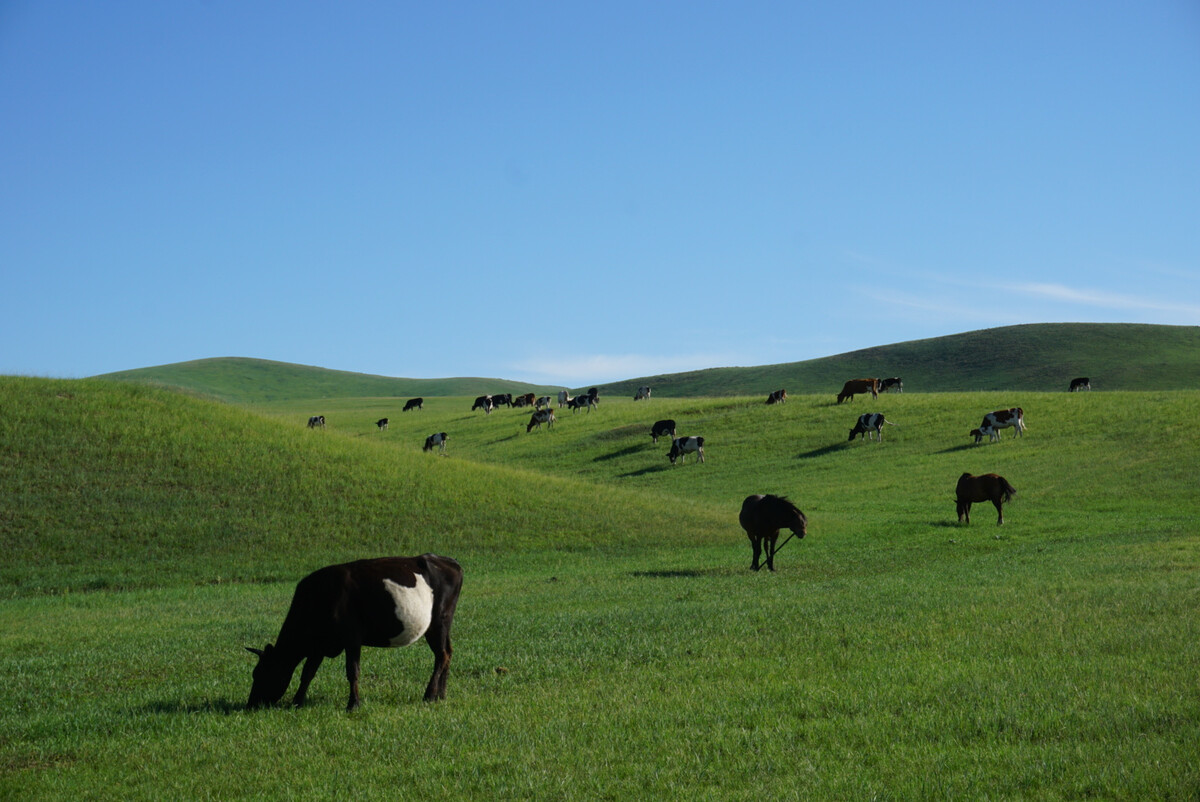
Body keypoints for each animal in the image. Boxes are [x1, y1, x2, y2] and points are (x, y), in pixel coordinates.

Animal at [246, 554, 460, 710]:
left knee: (441, 655)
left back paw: (430, 695)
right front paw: (297, 702)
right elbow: (308, 673)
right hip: (444, 625)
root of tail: (446, 560)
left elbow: (352, 671)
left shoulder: (352, 638)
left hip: (438, 622)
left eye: (260, 673)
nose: (251, 704)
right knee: (448, 653)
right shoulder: (320, 645)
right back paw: (442, 694)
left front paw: (353, 704)